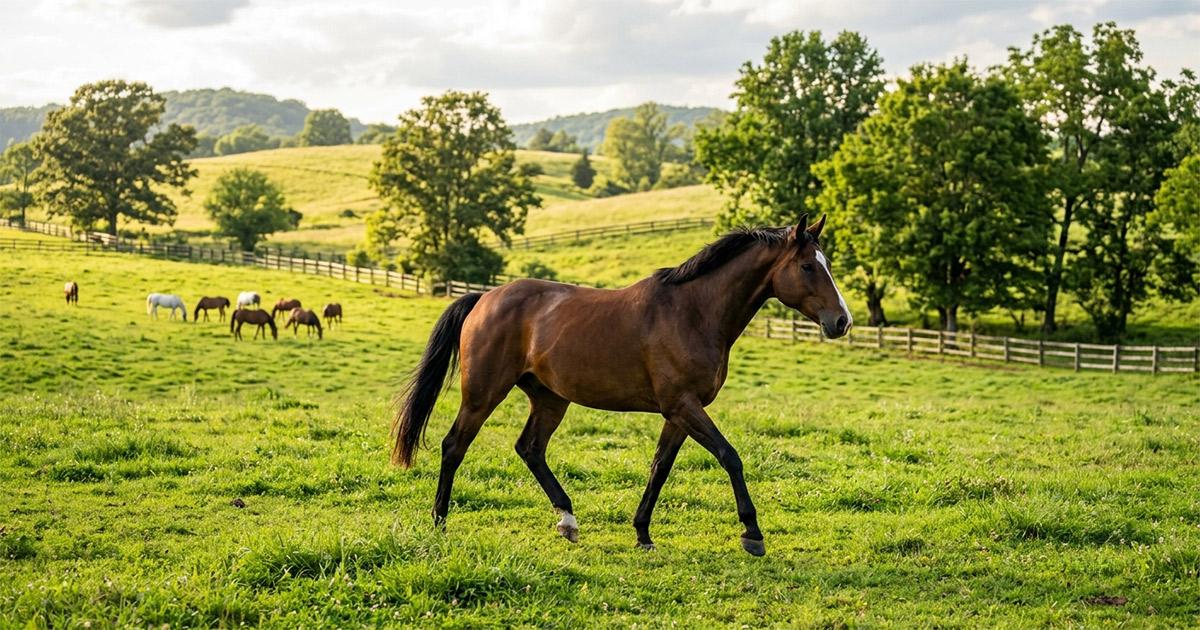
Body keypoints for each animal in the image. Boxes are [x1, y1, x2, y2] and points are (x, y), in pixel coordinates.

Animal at [391, 215, 851, 557]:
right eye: (808, 266)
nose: (842, 321)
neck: (694, 312)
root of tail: (483, 298)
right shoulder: (684, 405)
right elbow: (730, 456)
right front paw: (752, 534)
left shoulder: (678, 413)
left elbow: (659, 468)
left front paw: (643, 533)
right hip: (484, 392)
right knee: (455, 445)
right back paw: (440, 521)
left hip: (550, 399)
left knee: (530, 448)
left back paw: (568, 521)